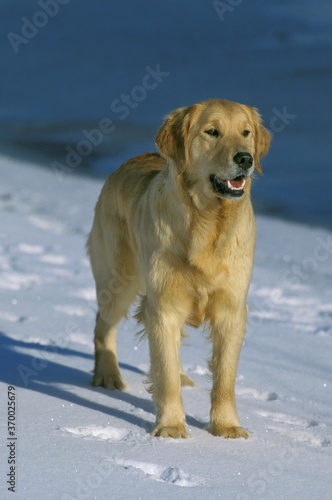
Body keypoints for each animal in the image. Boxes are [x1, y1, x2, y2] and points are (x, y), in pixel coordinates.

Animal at [87, 99, 270, 440]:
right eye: (212, 132)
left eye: (246, 132)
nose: (245, 158)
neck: (207, 222)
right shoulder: (163, 306)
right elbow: (165, 374)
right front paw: (171, 426)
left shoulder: (231, 309)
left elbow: (224, 377)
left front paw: (227, 426)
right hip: (119, 280)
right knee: (103, 326)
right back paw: (107, 375)